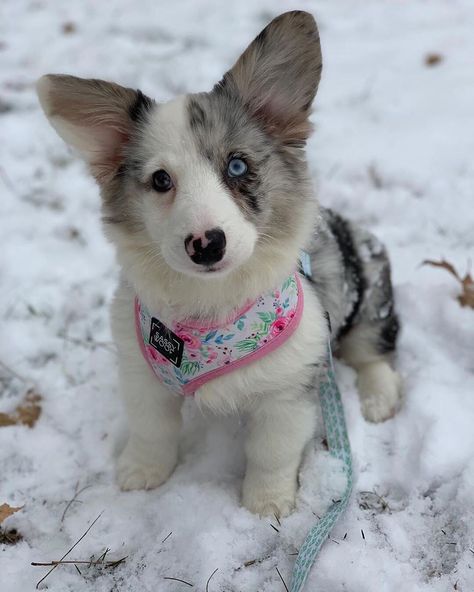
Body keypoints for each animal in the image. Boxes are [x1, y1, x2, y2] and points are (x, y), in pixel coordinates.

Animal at [35, 10, 402, 520]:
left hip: (370, 295)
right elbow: (151, 430)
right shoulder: (142, 377)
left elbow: (272, 453)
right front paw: (141, 473)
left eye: (237, 167)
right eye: (161, 180)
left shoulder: (287, 393)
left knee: (374, 353)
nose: (206, 244)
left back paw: (378, 399)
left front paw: (267, 504)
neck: (208, 310)